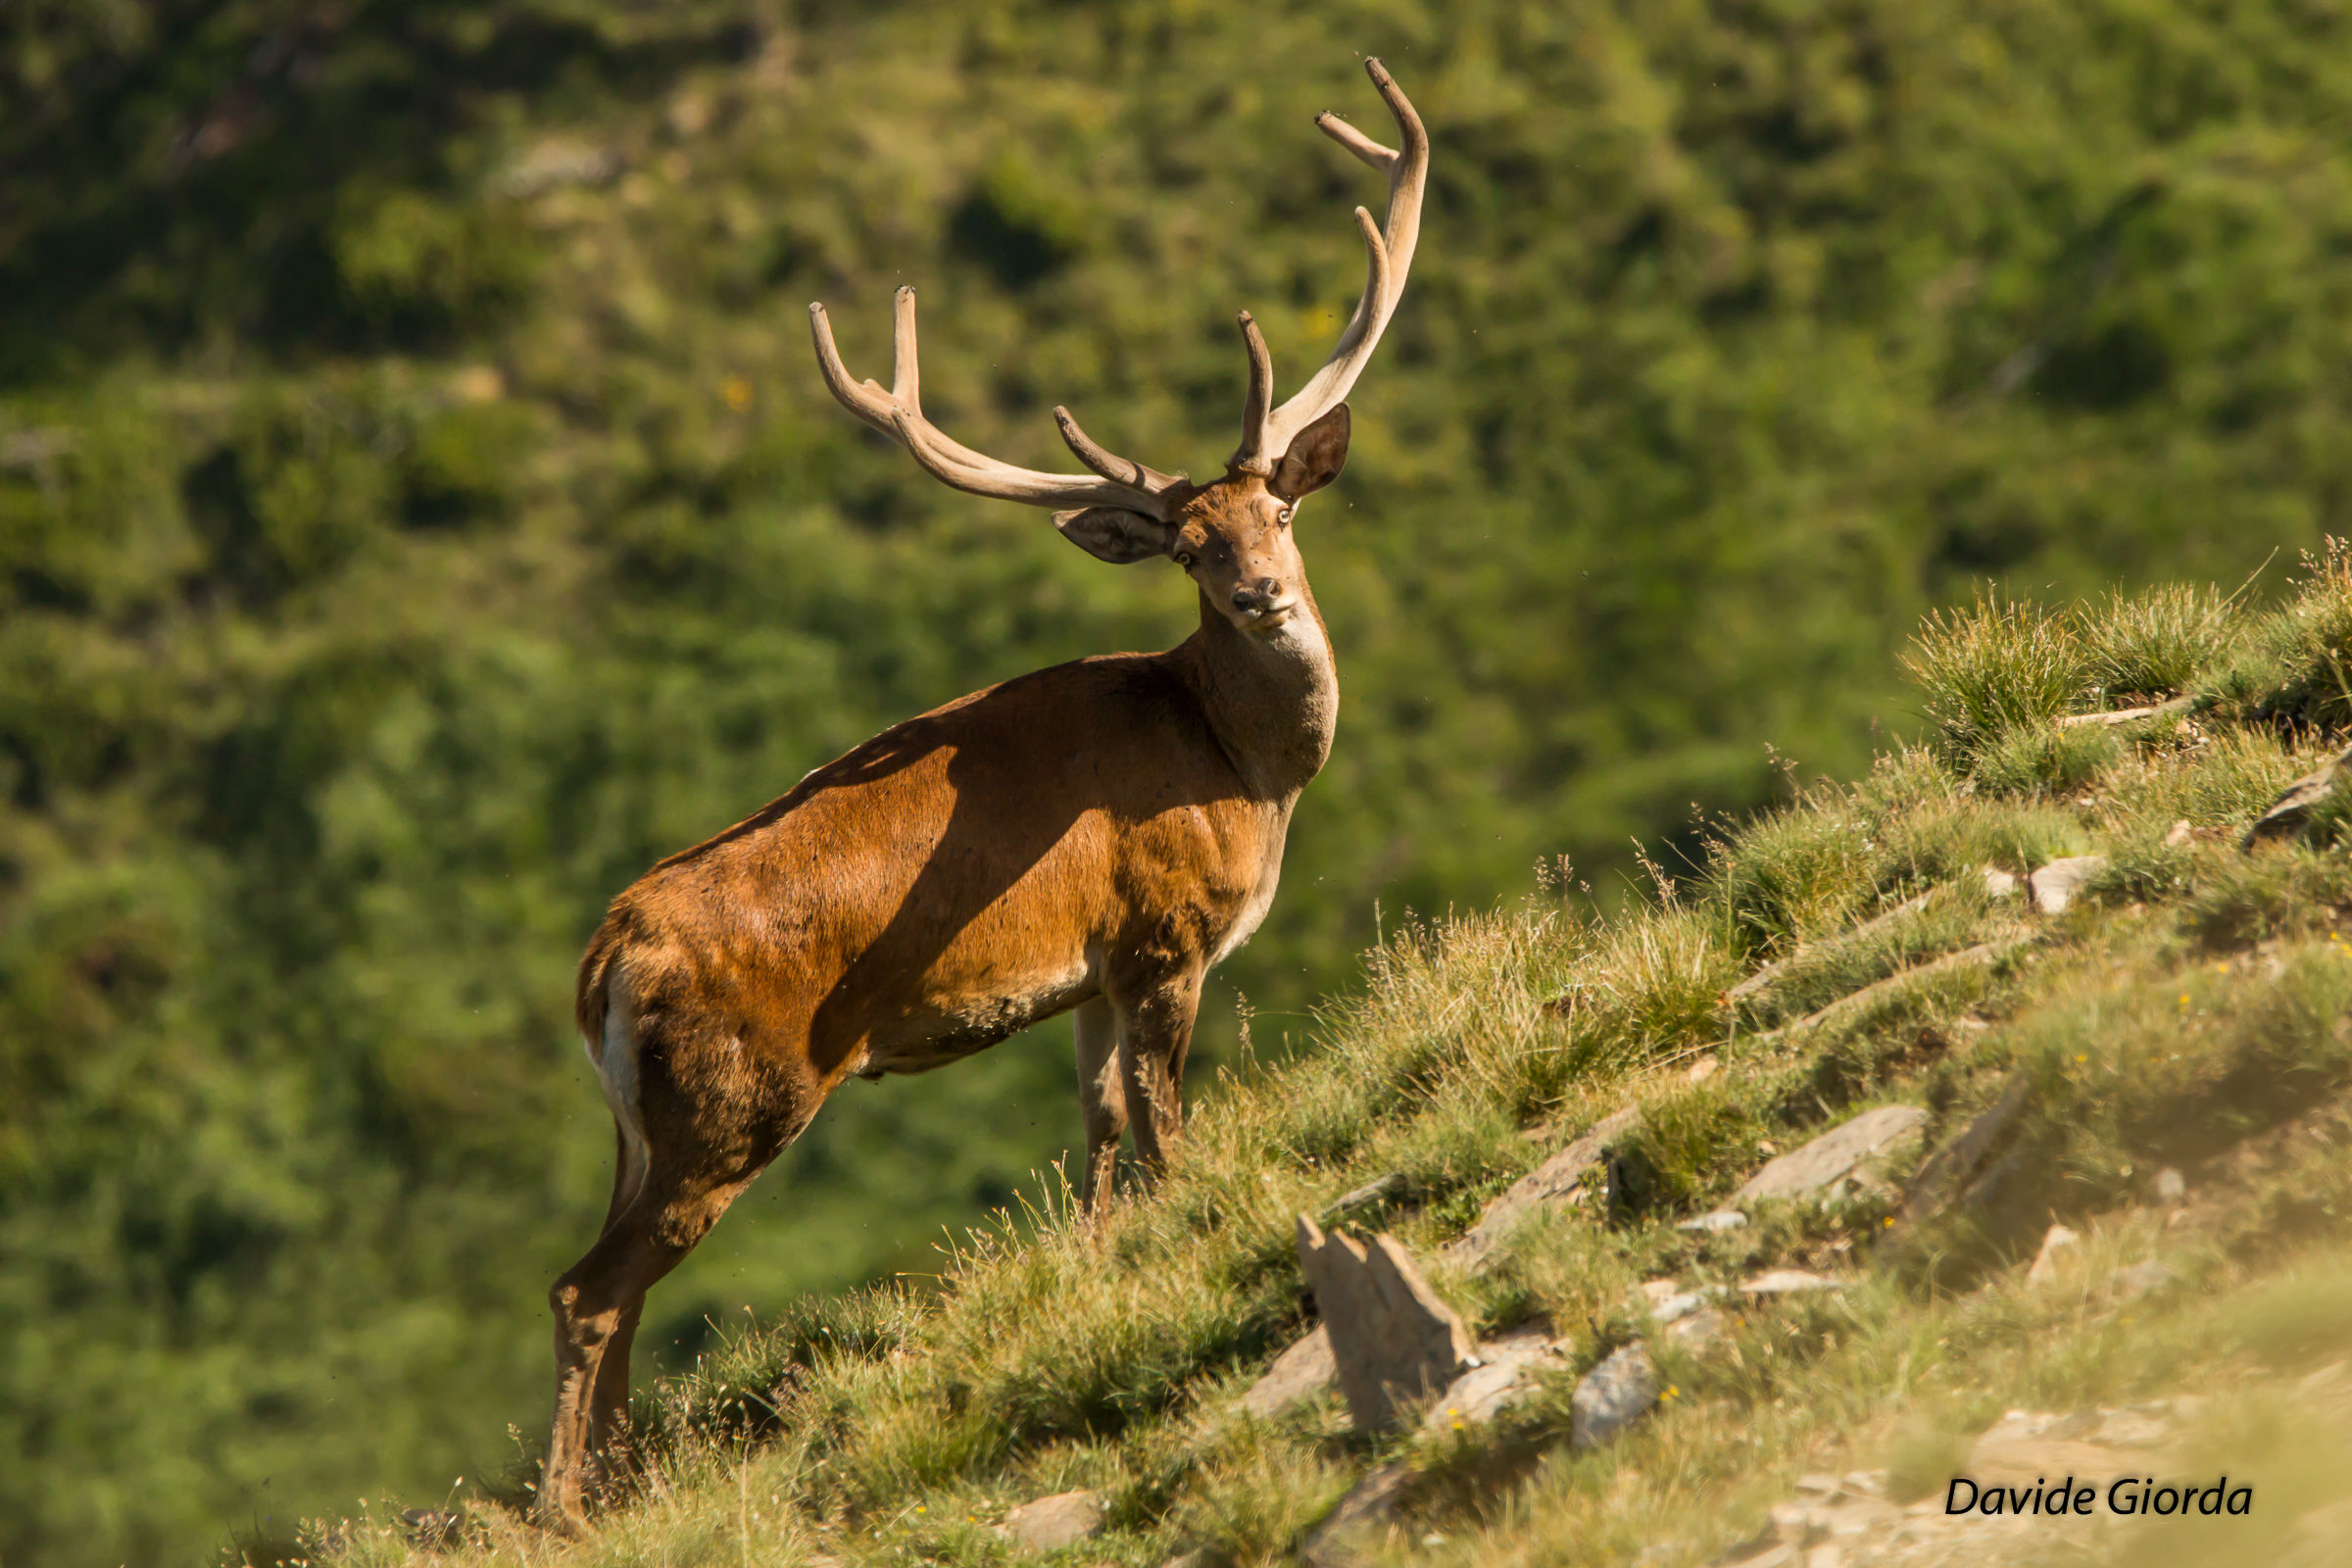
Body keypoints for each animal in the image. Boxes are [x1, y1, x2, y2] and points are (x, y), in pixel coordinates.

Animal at [538, 58, 1426, 1529]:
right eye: (1187, 548)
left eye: (1279, 513)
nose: (1261, 595)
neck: (1241, 767)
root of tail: (602, 961)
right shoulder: (1166, 935)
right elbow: (1169, 1130)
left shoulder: (1090, 971)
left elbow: (1100, 1140)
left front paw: (1105, 1261)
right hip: (737, 1098)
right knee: (586, 1292)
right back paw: (565, 1505)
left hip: (637, 1128)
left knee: (608, 1287)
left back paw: (612, 1488)